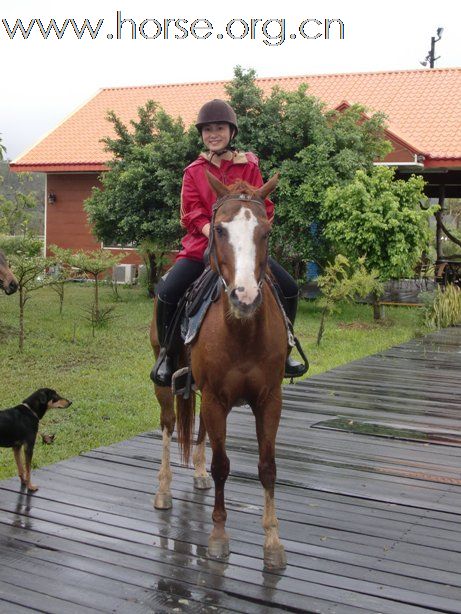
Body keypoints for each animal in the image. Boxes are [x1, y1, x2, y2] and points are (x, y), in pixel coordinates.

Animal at [151, 173, 288, 572]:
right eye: (218, 229)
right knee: (168, 425)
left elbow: (267, 467)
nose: (246, 297)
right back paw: (163, 489)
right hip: (167, 383)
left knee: (197, 431)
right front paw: (217, 537)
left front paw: (273, 542)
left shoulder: (269, 400)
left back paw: (196, 474)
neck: (241, 330)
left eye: (266, 231)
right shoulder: (215, 397)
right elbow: (223, 465)